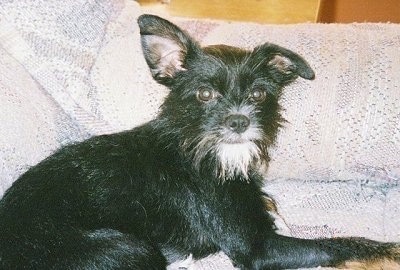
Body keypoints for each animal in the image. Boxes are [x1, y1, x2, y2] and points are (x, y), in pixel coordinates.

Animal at [0, 15, 400, 270]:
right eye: (204, 94)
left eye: (258, 94)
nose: (238, 121)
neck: (206, 152)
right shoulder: (257, 249)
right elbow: (339, 243)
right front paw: (389, 252)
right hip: (129, 248)